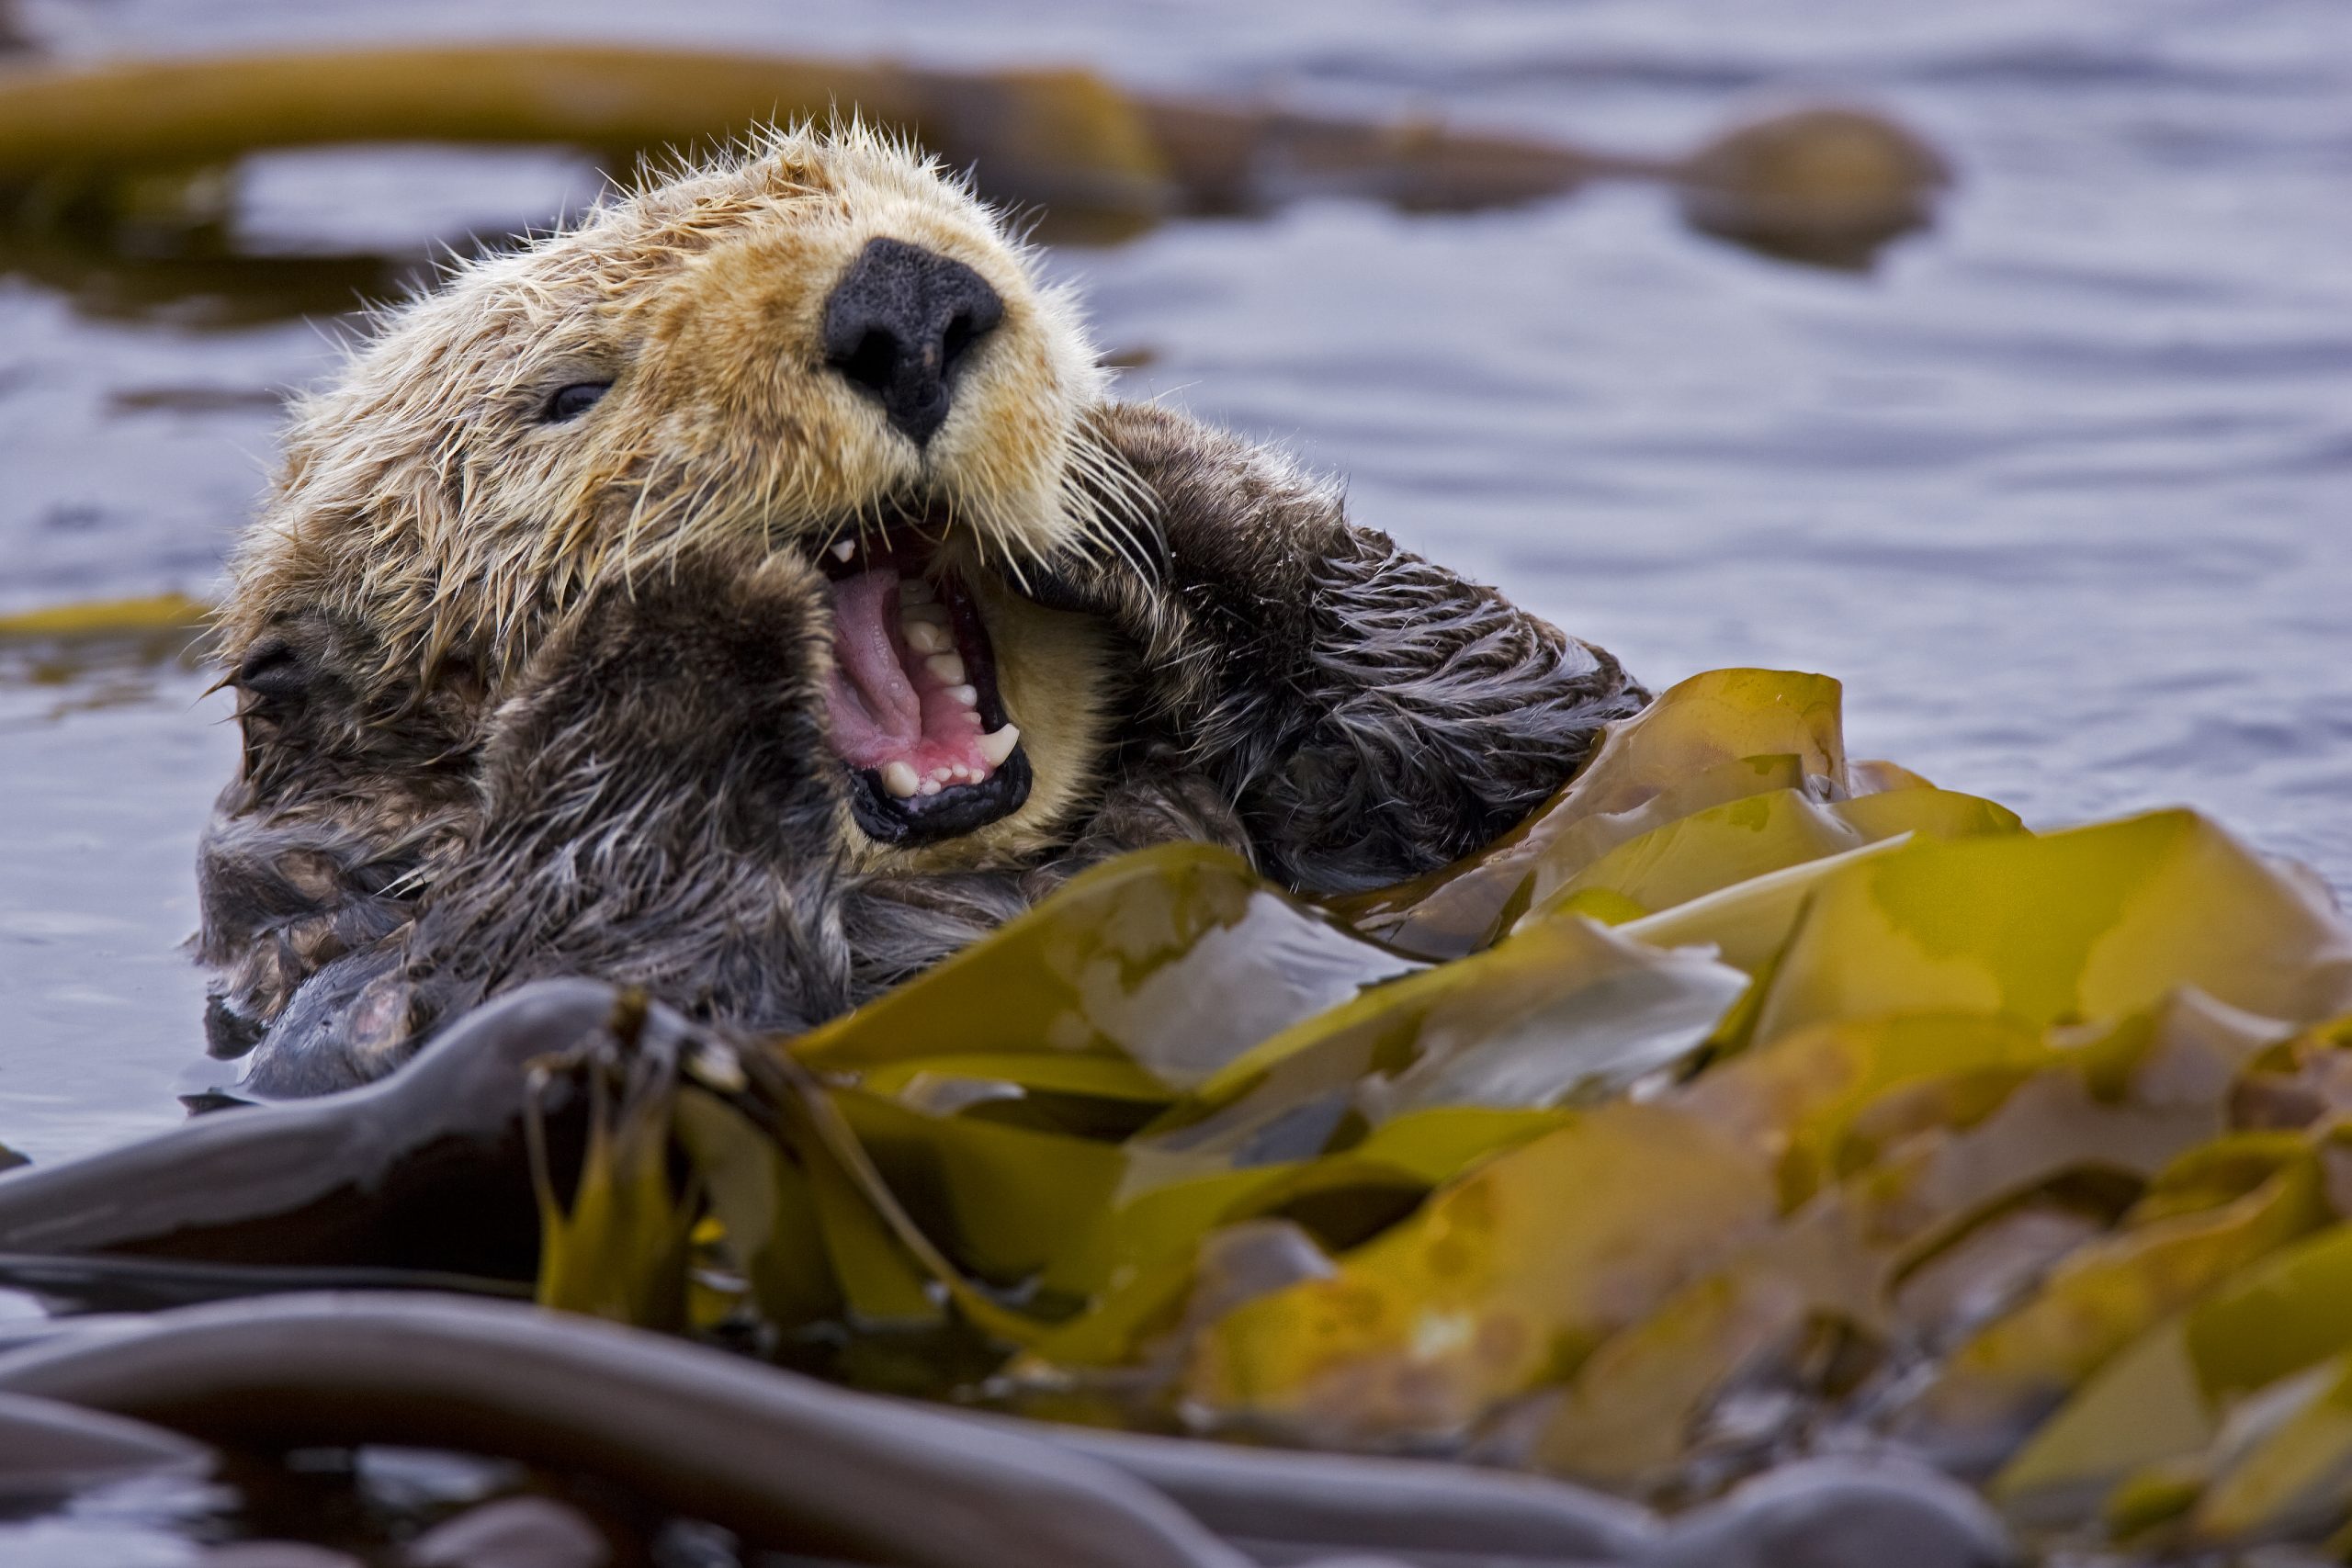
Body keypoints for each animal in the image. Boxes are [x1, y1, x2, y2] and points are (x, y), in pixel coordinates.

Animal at [195, 125, 1645, 1095]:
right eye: (569, 393)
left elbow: (1562, 727)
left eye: (974, 240)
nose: (903, 297)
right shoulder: (349, 968)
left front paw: (1144, 464)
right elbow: (585, 993)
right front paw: (684, 611)